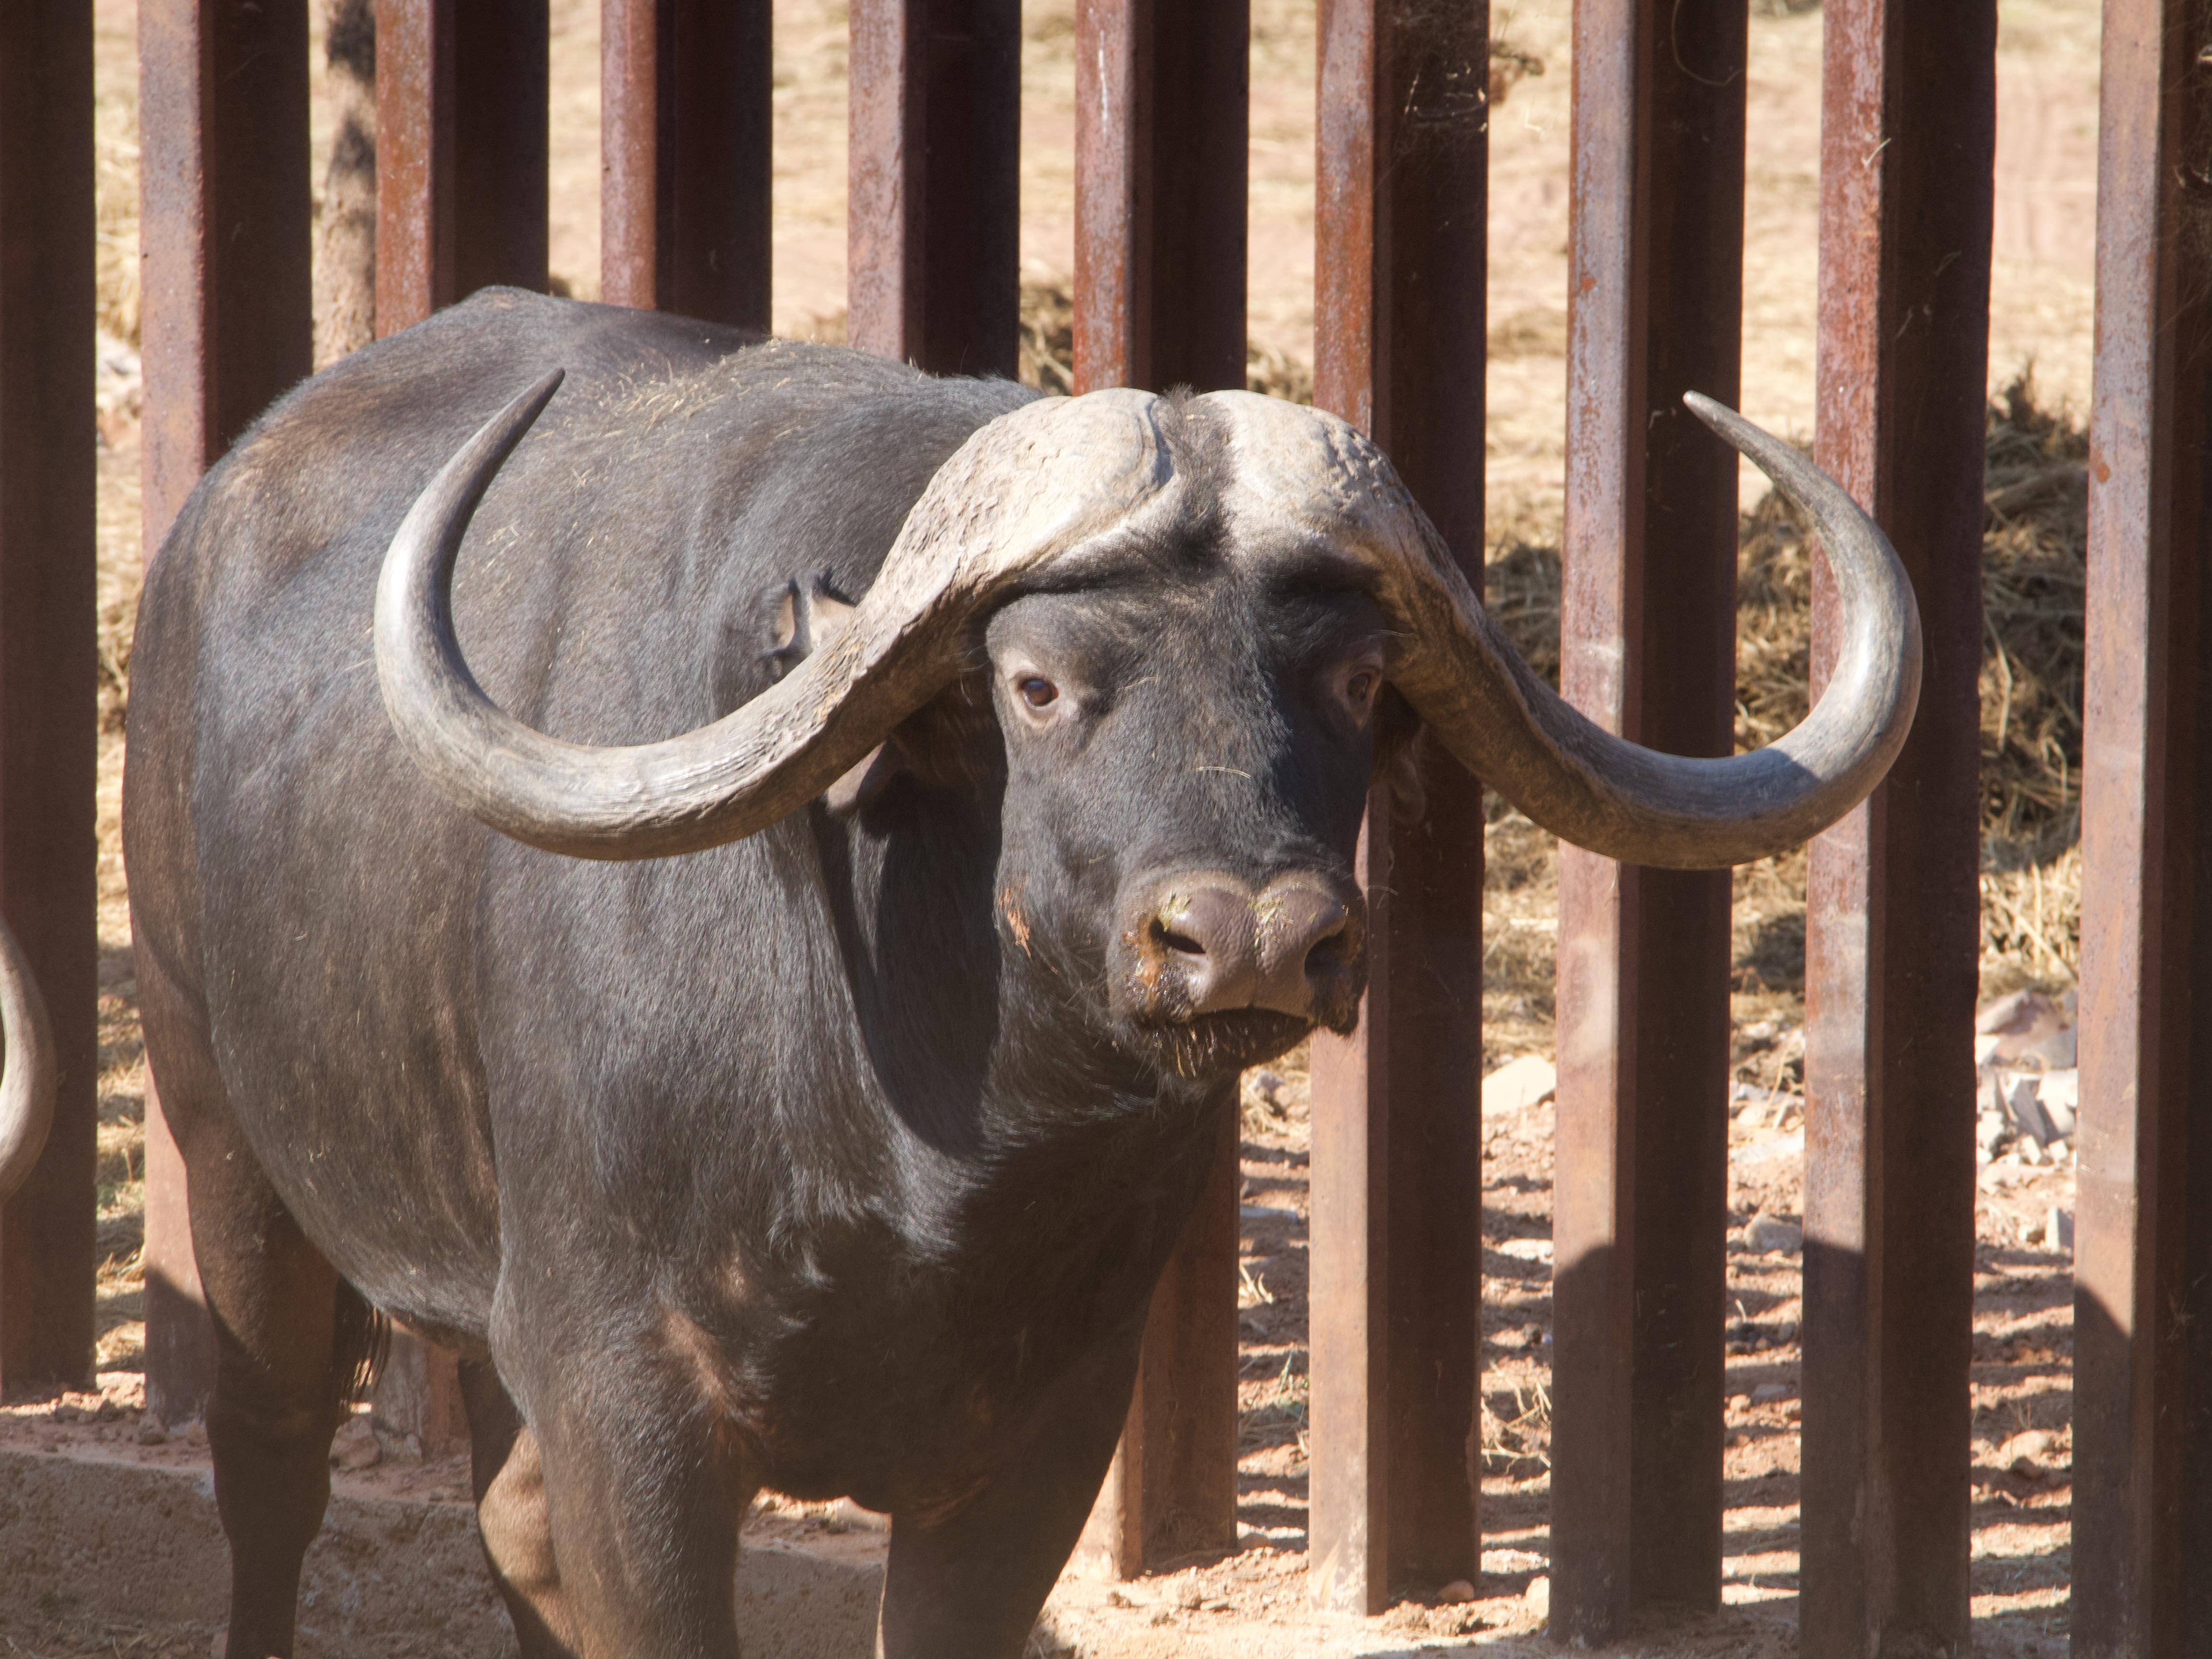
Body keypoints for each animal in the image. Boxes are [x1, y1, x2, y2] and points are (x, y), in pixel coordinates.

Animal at [121, 288, 1918, 1658]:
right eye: (1037, 683)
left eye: (1351, 677)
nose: (1254, 938)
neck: (926, 1144)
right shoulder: (630, 1401)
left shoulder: (1040, 1439)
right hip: (227, 1145)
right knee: (270, 1468)